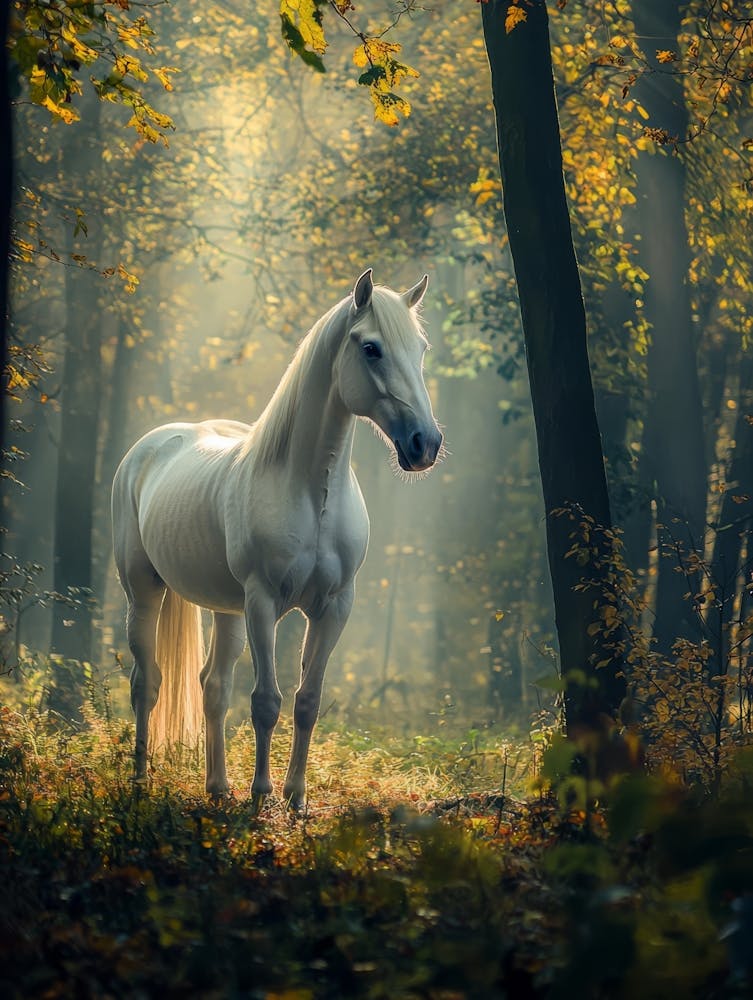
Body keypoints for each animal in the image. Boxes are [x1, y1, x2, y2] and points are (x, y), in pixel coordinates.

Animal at [111, 269, 442, 808]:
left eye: (421, 348)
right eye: (371, 348)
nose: (425, 444)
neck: (311, 492)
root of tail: (153, 445)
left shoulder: (334, 606)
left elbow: (307, 700)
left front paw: (295, 798)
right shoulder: (263, 602)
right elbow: (266, 702)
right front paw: (261, 796)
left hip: (226, 611)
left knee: (213, 687)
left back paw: (218, 788)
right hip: (144, 591)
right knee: (148, 683)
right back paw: (142, 781)